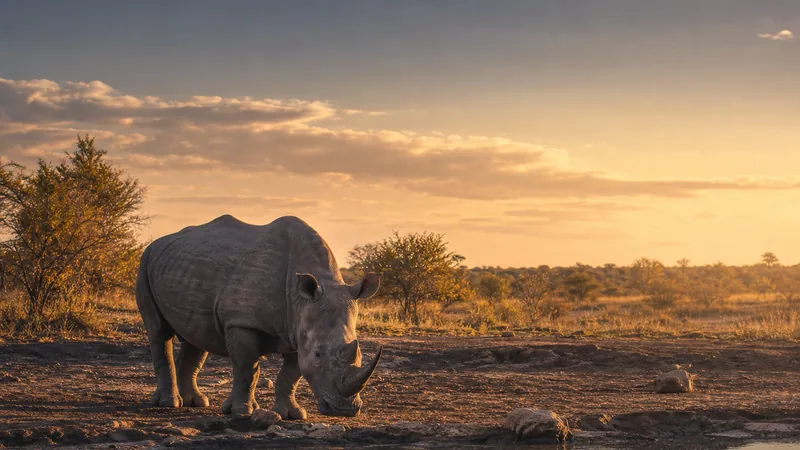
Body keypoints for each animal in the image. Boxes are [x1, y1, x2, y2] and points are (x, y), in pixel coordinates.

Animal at [135, 214, 383, 418]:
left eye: (360, 355)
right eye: (318, 355)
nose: (344, 410)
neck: (300, 299)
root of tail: (156, 243)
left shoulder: (297, 328)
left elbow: (291, 375)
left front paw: (292, 414)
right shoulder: (242, 322)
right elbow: (247, 368)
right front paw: (241, 411)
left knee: (196, 335)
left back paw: (196, 403)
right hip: (145, 262)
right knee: (158, 332)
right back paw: (169, 403)